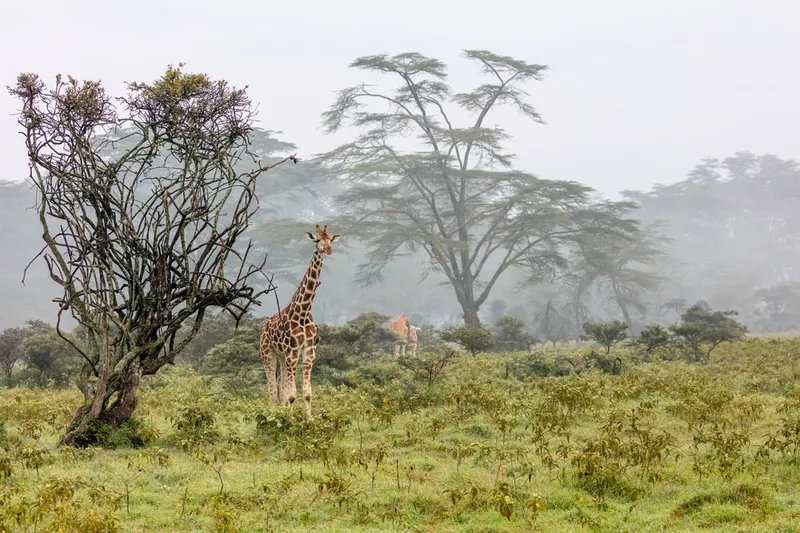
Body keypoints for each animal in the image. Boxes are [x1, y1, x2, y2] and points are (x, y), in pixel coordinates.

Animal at [258, 224, 340, 415]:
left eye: (330, 239)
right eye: (317, 240)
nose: (328, 249)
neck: (303, 313)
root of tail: (263, 329)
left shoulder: (309, 352)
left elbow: (306, 393)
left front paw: (308, 419)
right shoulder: (292, 352)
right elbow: (291, 395)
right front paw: (290, 419)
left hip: (281, 356)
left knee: (279, 389)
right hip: (268, 354)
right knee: (272, 391)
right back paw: (274, 413)